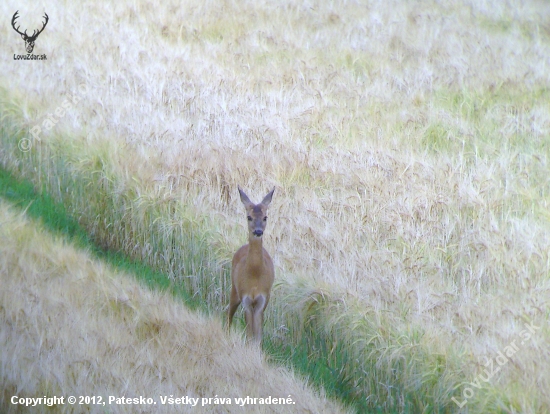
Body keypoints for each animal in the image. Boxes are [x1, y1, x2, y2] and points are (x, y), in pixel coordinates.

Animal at [227, 187, 276, 342]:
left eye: (265, 217)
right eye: (249, 217)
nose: (258, 231)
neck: (255, 274)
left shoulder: (262, 299)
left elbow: (257, 335)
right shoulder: (246, 299)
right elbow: (249, 333)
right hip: (234, 289)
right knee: (228, 313)